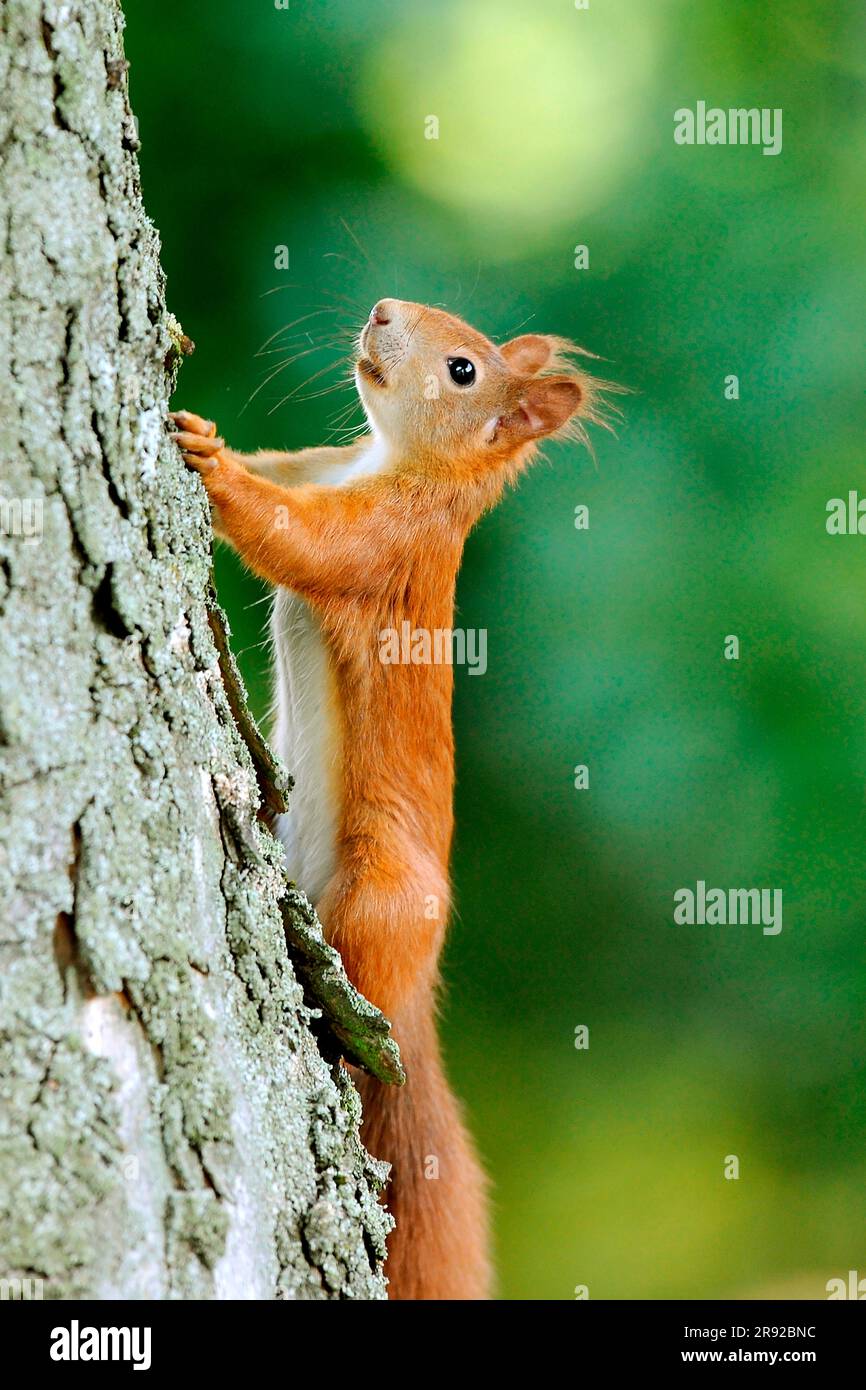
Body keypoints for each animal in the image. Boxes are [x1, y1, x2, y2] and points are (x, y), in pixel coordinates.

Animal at [170, 298, 608, 1295]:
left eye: (462, 371)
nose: (381, 311)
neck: (388, 463)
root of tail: (415, 1001)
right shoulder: (322, 467)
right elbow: (279, 473)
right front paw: (204, 419)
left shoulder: (386, 543)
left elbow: (296, 540)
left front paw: (210, 463)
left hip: (384, 892)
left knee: (364, 1013)